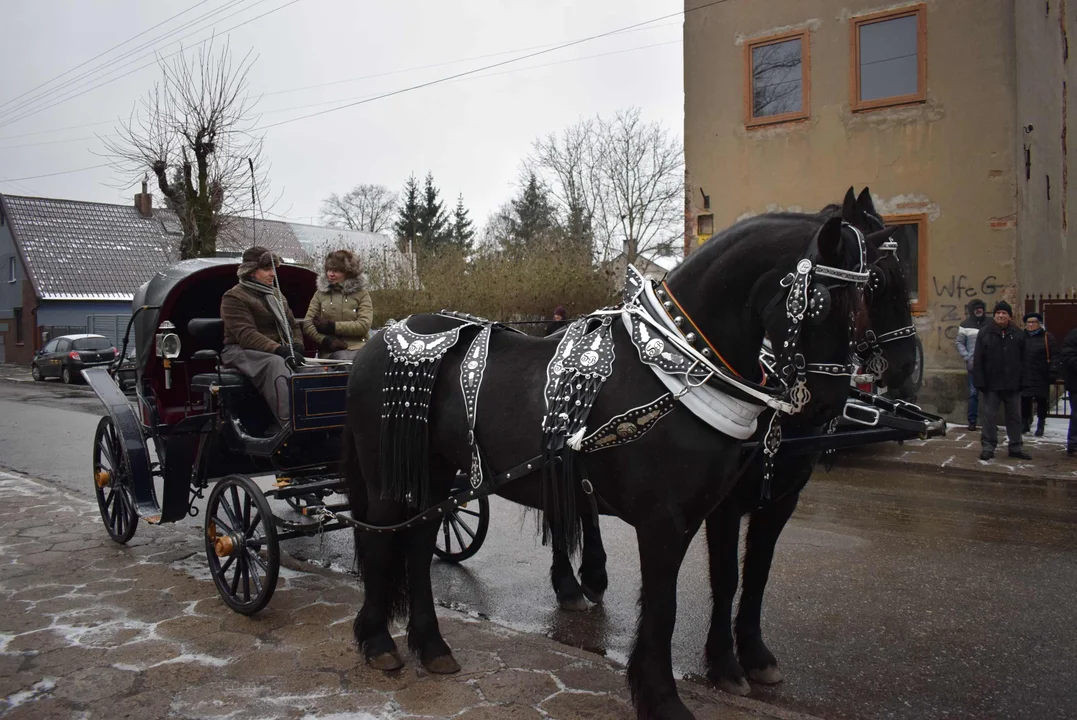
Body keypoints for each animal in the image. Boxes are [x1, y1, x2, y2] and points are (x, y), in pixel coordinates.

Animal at [344, 203, 874, 718]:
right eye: (823, 301)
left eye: (865, 304)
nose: (830, 404)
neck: (675, 368)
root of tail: (375, 342)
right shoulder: (664, 520)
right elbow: (664, 605)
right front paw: (663, 699)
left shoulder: (703, 513)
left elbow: (720, 583)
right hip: (387, 478)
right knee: (379, 541)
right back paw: (378, 641)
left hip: (433, 475)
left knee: (416, 545)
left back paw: (432, 645)